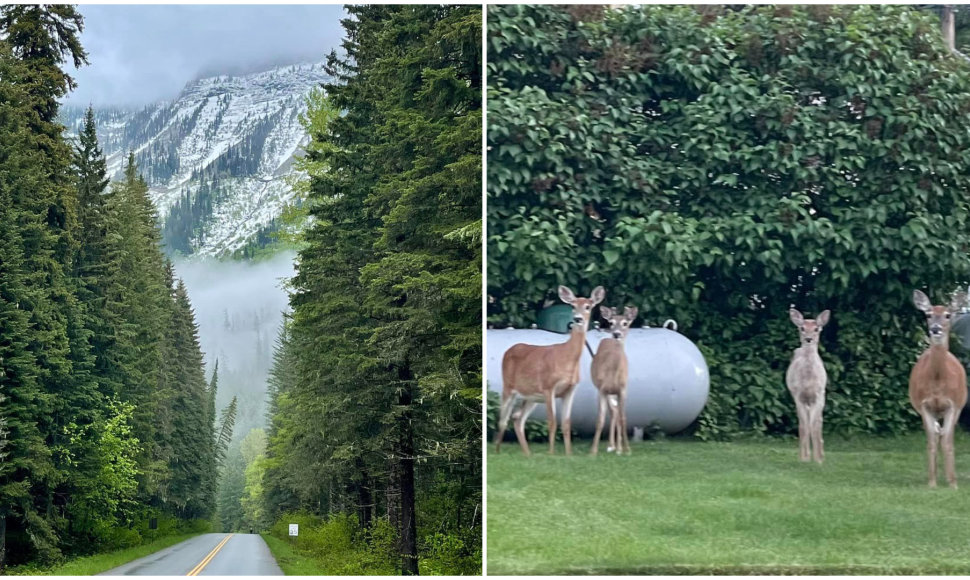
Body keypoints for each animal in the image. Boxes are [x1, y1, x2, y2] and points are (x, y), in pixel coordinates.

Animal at [496, 286, 600, 458]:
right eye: (573, 306)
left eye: (588, 306)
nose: (578, 319)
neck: (567, 359)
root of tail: (508, 350)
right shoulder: (548, 386)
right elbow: (552, 422)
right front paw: (551, 453)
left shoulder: (570, 390)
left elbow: (566, 423)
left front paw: (568, 454)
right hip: (509, 387)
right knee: (503, 419)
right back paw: (497, 450)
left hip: (531, 396)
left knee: (517, 418)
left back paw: (528, 454)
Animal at [588, 306, 636, 456]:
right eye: (611, 322)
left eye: (625, 323)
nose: (616, 334)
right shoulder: (601, 390)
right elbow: (600, 419)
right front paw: (593, 451)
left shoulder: (623, 390)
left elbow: (623, 418)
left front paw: (627, 449)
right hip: (605, 391)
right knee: (613, 412)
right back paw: (612, 446)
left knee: (616, 413)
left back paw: (618, 447)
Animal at [784, 308, 828, 462]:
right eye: (802, 328)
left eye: (816, 329)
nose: (809, 339)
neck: (809, 381)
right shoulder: (798, 396)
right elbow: (804, 426)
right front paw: (804, 458)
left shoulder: (819, 395)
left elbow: (814, 426)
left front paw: (818, 460)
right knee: (804, 423)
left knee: (819, 422)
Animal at [904, 292, 964, 488]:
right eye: (928, 315)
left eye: (947, 315)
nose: (935, 328)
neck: (938, 382)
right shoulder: (924, 405)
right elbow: (931, 441)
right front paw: (932, 483)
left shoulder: (953, 405)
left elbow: (948, 442)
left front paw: (953, 484)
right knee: (937, 434)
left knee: (943, 435)